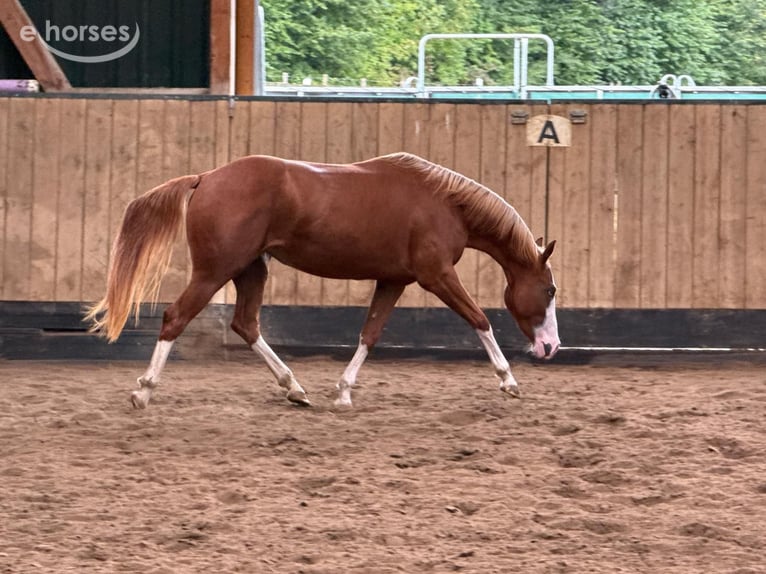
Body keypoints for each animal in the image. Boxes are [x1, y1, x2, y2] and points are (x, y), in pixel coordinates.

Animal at [86, 152, 560, 408]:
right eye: (550, 290)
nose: (551, 347)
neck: (444, 203)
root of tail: (206, 179)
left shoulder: (393, 280)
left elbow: (370, 334)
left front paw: (344, 392)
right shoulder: (436, 275)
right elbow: (480, 319)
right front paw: (509, 381)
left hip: (250, 269)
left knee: (246, 324)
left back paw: (295, 388)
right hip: (215, 271)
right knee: (175, 318)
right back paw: (144, 391)